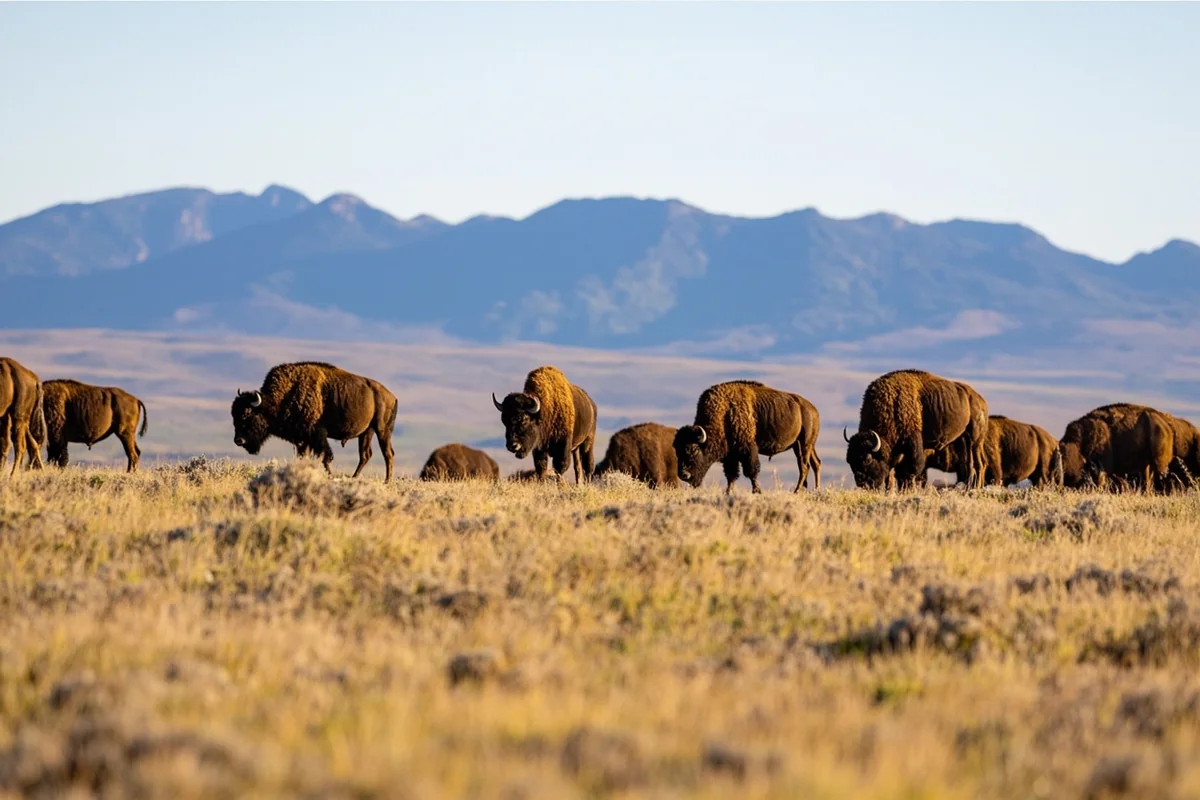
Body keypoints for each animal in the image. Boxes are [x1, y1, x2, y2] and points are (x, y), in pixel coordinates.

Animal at [232, 361, 397, 481]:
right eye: (233, 415)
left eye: (247, 414)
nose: (238, 440)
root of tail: (392, 396)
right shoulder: (303, 439)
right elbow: (304, 456)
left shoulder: (317, 435)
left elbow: (326, 457)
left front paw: (330, 476)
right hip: (366, 433)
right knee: (365, 455)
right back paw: (355, 478)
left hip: (382, 430)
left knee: (387, 454)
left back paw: (387, 481)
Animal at [674, 380, 821, 494]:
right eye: (677, 451)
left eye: (694, 449)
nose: (683, 475)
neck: (724, 414)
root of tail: (813, 409)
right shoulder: (730, 455)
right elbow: (732, 475)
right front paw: (728, 492)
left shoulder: (747, 449)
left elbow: (751, 471)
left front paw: (757, 491)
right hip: (801, 445)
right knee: (815, 463)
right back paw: (814, 489)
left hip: (805, 443)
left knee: (804, 466)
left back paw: (797, 491)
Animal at [844, 369, 986, 491]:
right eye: (849, 460)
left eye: (868, 458)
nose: (861, 482)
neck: (892, 405)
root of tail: (980, 400)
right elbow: (894, 474)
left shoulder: (912, 447)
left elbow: (908, 472)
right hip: (963, 440)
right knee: (969, 465)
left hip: (975, 440)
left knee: (979, 464)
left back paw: (975, 487)